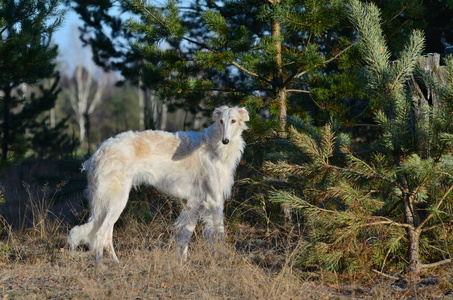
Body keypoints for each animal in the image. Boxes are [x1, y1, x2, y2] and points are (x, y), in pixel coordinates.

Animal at [69, 105, 249, 264]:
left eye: (233, 120)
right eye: (221, 121)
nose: (225, 140)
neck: (214, 146)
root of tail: (96, 154)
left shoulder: (196, 201)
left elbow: (186, 235)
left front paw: (183, 261)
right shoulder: (215, 199)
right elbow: (219, 234)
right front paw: (223, 259)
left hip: (110, 203)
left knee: (107, 234)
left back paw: (116, 261)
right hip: (117, 200)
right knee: (100, 233)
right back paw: (101, 265)